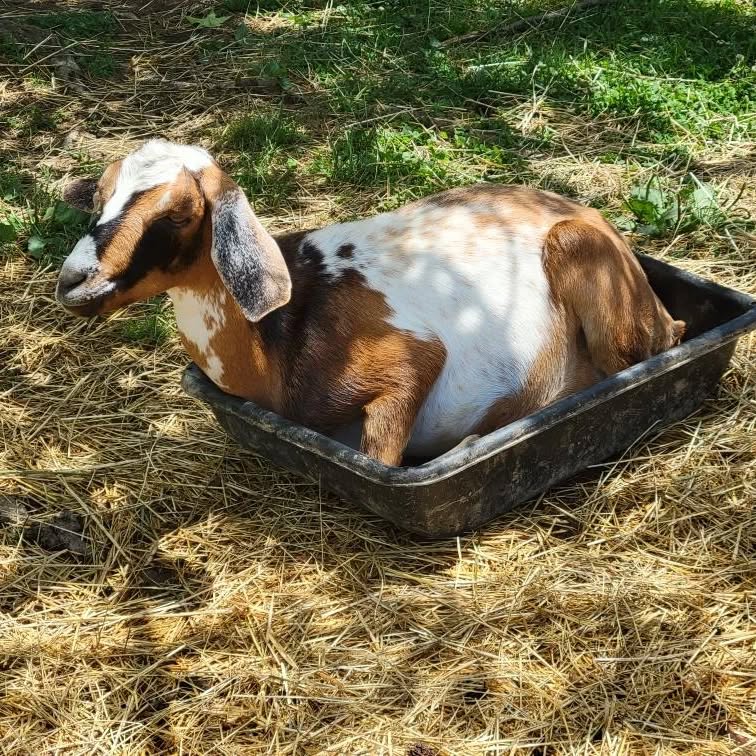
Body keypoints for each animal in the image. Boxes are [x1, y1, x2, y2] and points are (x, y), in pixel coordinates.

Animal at [57, 140, 685, 465]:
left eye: (179, 214)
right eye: (99, 196)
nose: (73, 282)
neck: (274, 348)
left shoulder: (409, 356)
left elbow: (383, 453)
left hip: (590, 270)